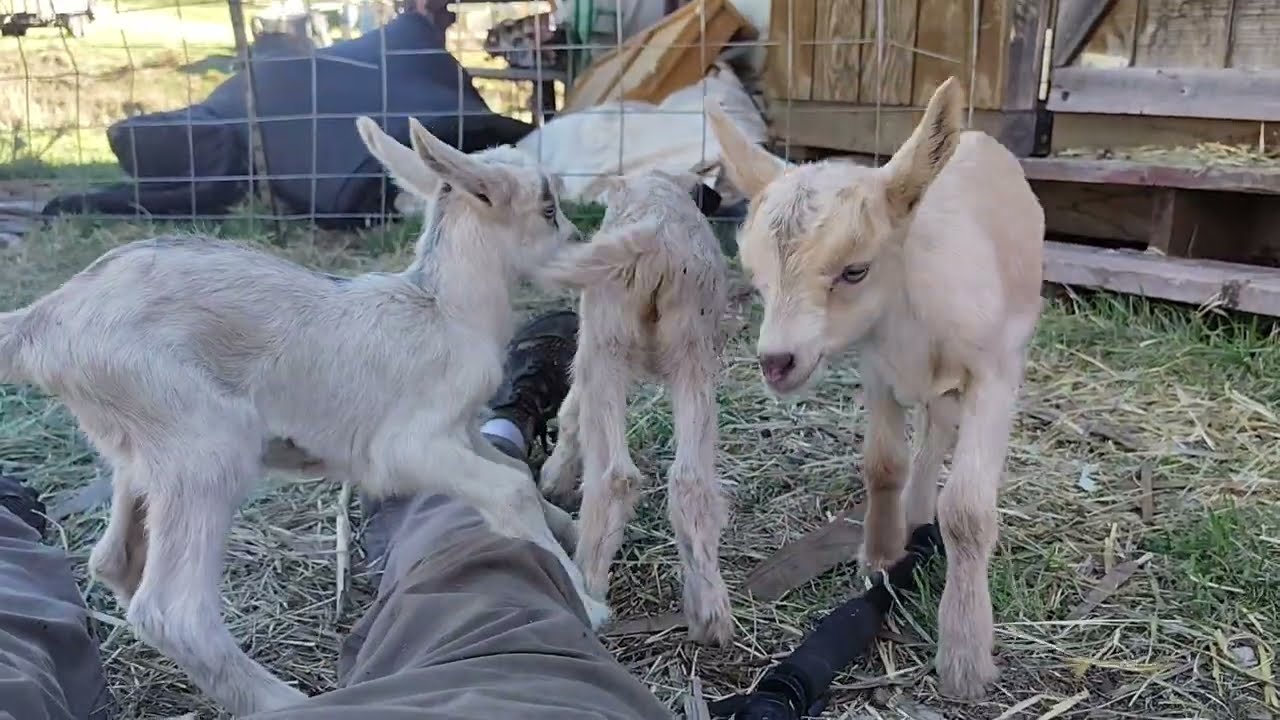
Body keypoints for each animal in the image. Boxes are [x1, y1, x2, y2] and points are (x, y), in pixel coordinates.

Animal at [537, 168, 734, 646]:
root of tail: (656, 236)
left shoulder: (589, 353)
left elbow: (569, 415)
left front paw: (553, 480)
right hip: (692, 355)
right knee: (690, 481)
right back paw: (709, 613)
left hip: (604, 345)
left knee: (614, 478)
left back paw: (588, 592)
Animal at [705, 77, 1045, 699]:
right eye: (757, 278)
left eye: (855, 271)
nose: (776, 362)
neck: (909, 313)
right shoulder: (877, 368)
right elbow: (884, 463)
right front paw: (883, 556)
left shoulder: (996, 374)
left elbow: (967, 510)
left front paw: (964, 655)